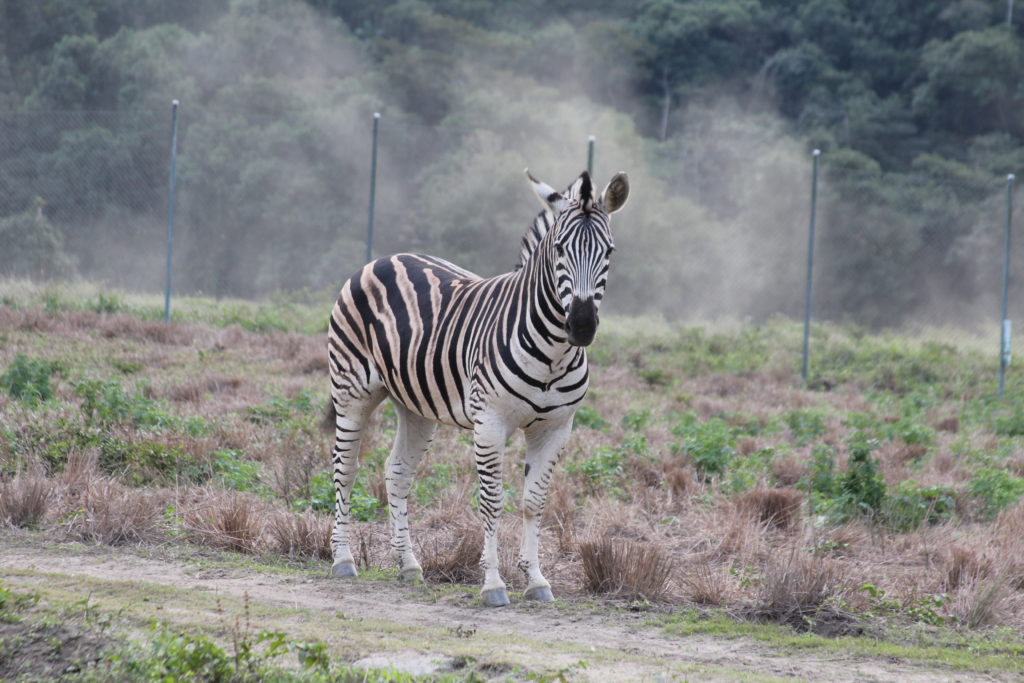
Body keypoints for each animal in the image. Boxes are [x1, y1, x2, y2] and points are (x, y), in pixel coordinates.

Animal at [326, 168, 630, 607]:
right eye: (559, 249)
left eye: (609, 251)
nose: (582, 325)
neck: (554, 353)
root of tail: (386, 257)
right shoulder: (490, 421)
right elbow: (492, 501)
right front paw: (493, 584)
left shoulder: (556, 429)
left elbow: (534, 503)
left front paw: (536, 580)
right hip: (351, 390)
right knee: (344, 468)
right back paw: (343, 559)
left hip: (415, 405)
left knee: (396, 472)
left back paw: (409, 565)